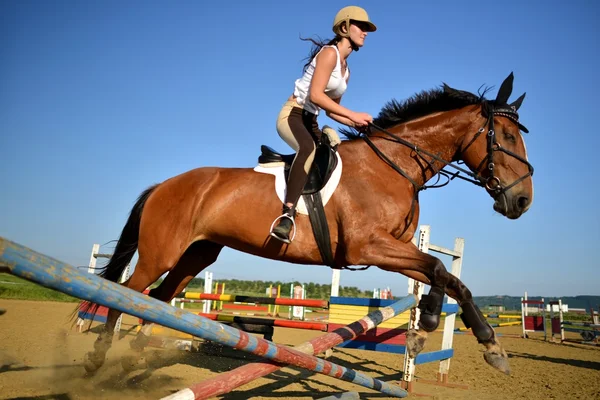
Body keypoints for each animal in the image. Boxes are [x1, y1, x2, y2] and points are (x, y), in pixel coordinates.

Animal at [79, 72, 536, 376]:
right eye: (507, 137)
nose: (522, 201)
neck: (394, 165)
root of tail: (162, 185)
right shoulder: (370, 246)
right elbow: (440, 269)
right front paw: (430, 330)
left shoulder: (396, 249)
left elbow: (449, 277)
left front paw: (484, 345)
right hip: (160, 253)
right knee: (126, 293)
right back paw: (97, 361)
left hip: (197, 253)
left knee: (158, 296)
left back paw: (135, 357)